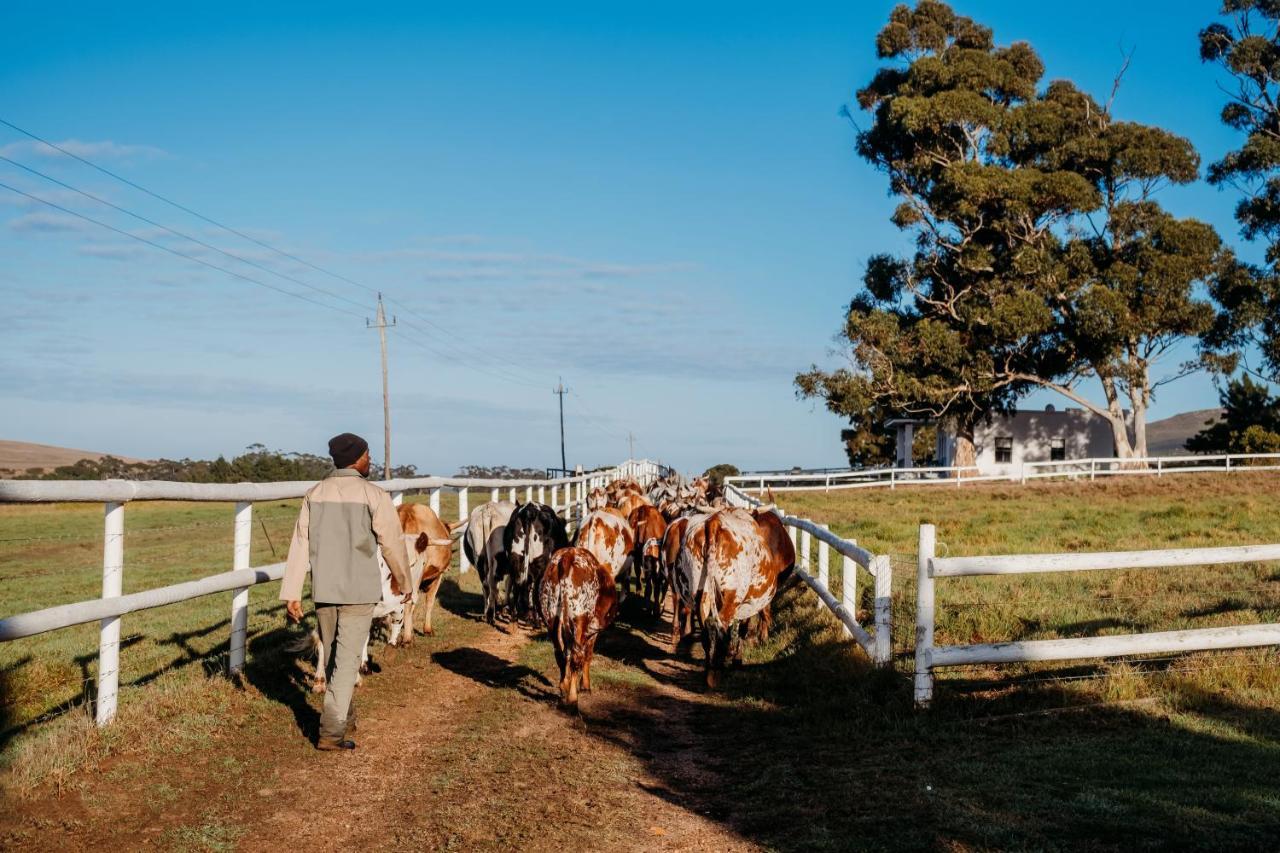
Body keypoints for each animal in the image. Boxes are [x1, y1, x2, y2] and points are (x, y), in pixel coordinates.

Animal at [537, 545, 616, 701]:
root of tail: (568, 555)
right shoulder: (592, 630)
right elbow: (587, 655)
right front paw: (585, 686)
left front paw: (566, 682)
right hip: (580, 618)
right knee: (576, 656)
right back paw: (573, 698)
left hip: (551, 617)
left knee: (560, 653)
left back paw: (564, 687)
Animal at [675, 504, 793, 686]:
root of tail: (714, 523)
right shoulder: (747, 604)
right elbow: (742, 628)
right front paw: (737, 659)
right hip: (732, 597)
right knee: (718, 625)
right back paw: (715, 672)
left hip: (700, 592)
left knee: (706, 628)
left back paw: (710, 669)